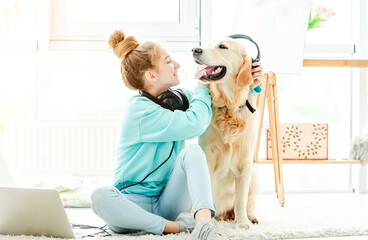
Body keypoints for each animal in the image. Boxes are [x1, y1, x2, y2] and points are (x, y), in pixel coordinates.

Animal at [193, 37, 258, 229]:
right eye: (207, 44)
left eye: (222, 46)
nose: (195, 50)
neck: (230, 107)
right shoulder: (208, 154)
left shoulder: (245, 161)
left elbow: (241, 199)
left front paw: (242, 222)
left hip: (255, 175)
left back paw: (250, 216)